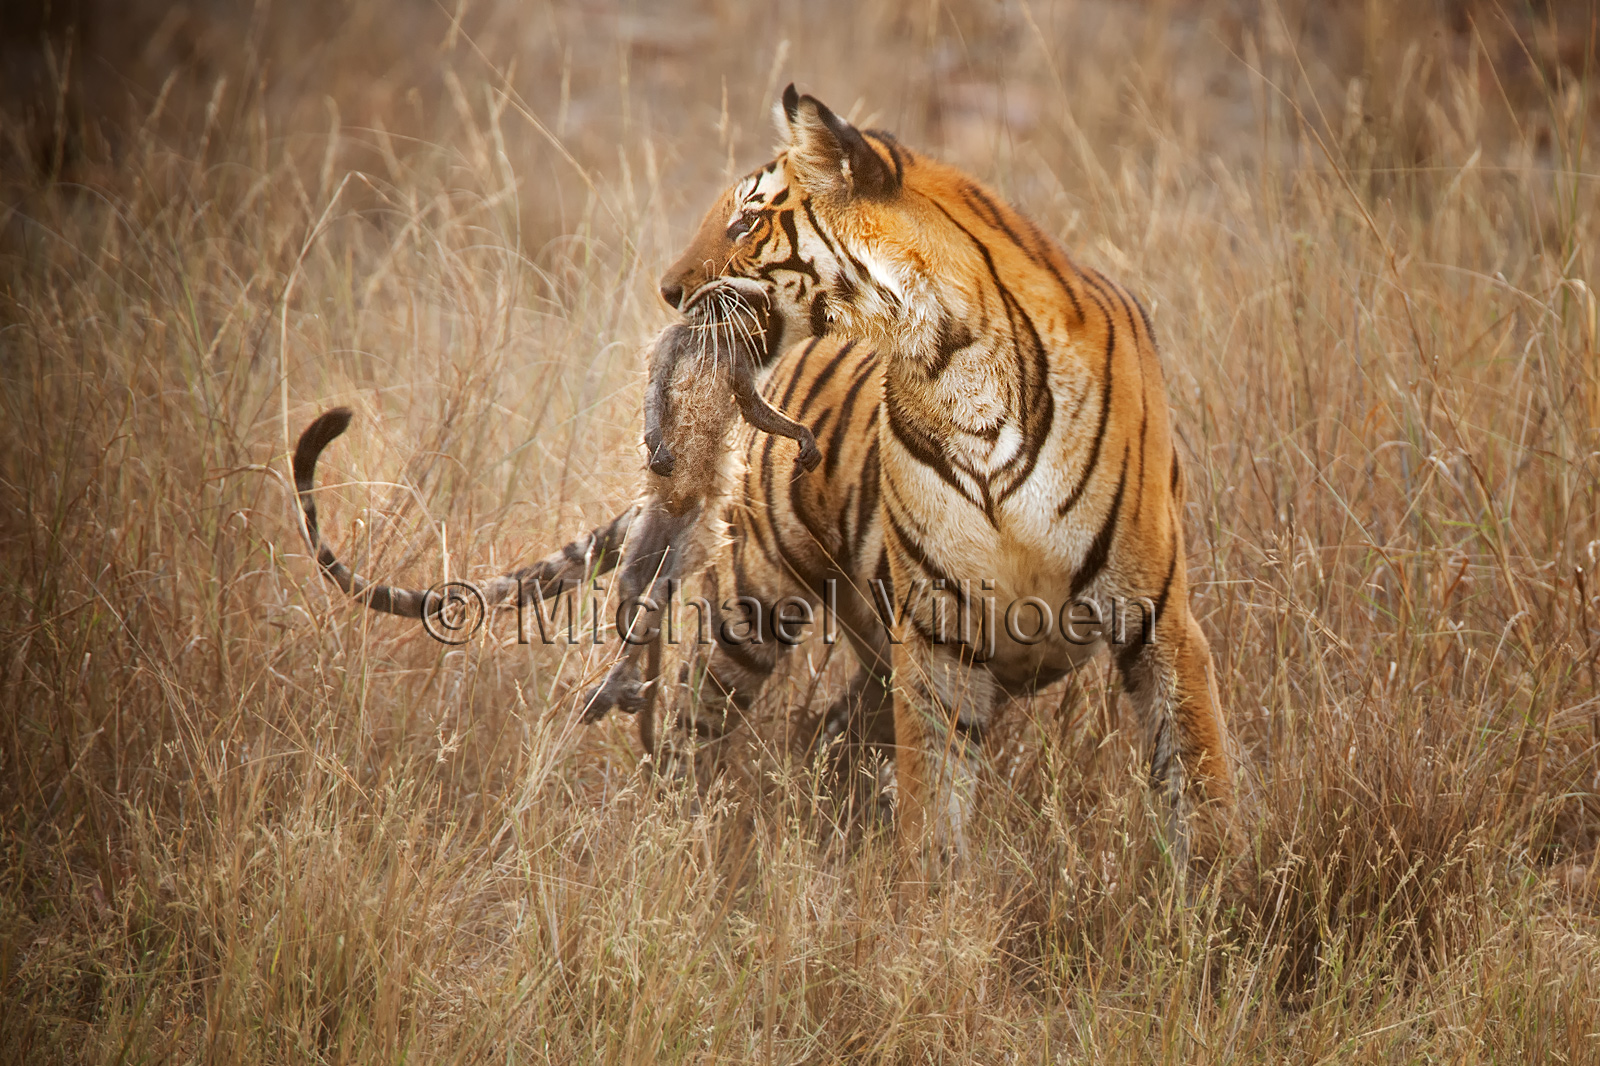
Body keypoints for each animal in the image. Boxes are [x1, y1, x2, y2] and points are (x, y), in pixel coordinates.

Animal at [292, 85, 1237, 873]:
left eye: (747, 222)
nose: (669, 291)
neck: (951, 367)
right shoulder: (941, 639)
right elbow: (935, 811)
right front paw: (936, 918)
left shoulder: (1157, 618)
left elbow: (1199, 782)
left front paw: (1207, 916)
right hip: (750, 607)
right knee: (694, 737)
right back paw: (675, 850)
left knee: (820, 737)